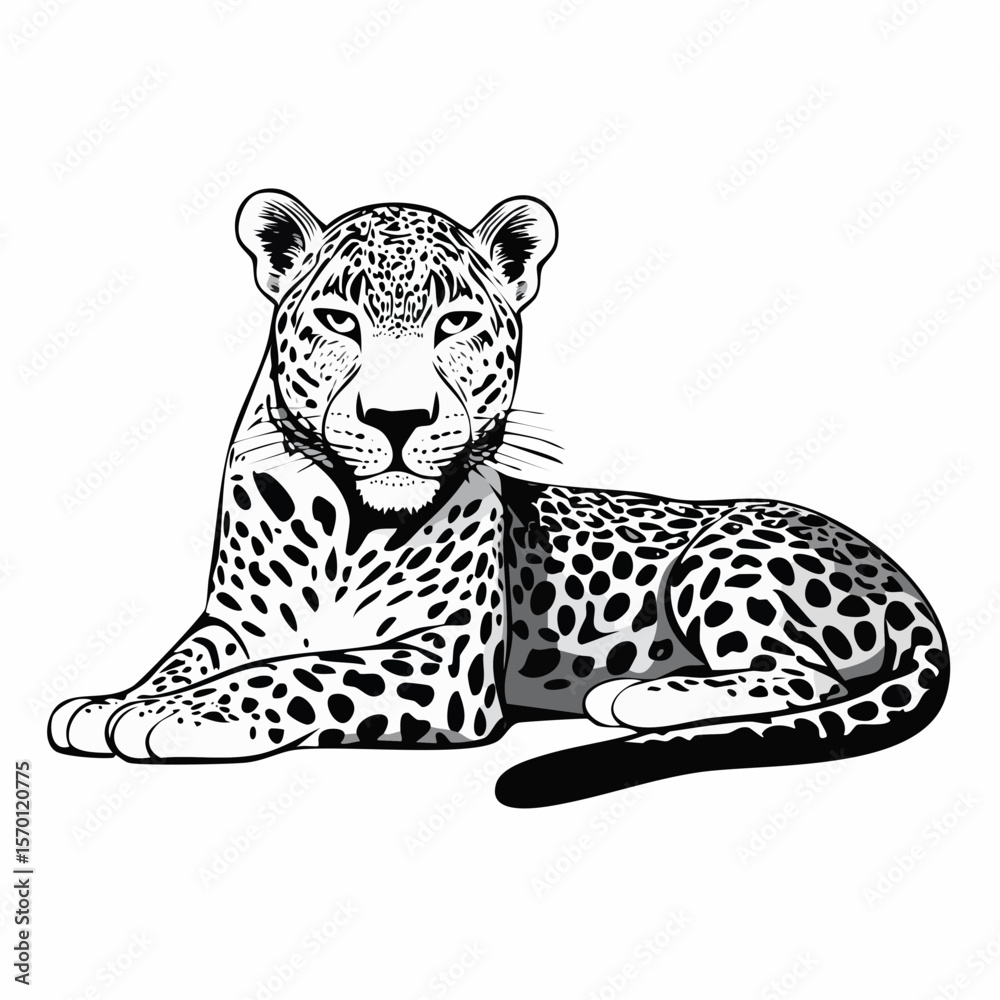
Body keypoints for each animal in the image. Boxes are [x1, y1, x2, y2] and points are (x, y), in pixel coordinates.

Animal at [48, 190, 949, 803]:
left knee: (806, 676)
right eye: (339, 320)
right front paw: (112, 702)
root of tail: (901, 580)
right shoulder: (235, 621)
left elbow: (302, 671)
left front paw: (184, 717)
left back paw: (634, 696)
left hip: (725, 558)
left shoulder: (445, 658)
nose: (398, 418)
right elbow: (182, 659)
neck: (348, 523)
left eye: (455, 323)